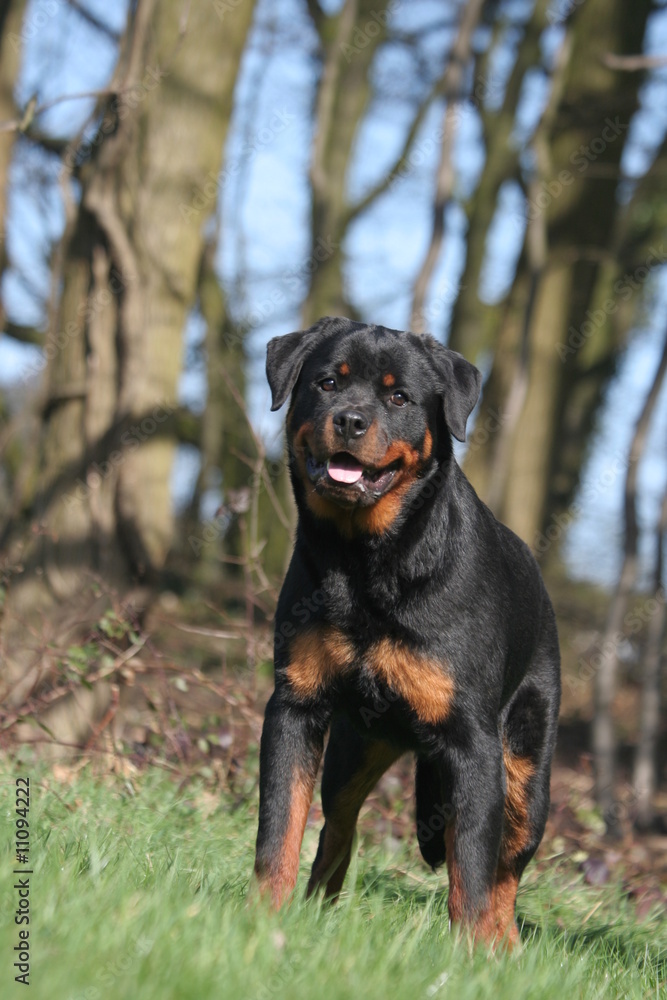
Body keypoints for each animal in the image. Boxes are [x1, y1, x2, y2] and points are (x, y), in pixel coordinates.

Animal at [253, 316, 560, 948]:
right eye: (327, 382)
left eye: (399, 398)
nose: (350, 419)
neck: (366, 562)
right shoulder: (295, 705)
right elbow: (279, 829)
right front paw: (260, 920)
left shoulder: (473, 744)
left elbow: (472, 872)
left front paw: (471, 955)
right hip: (355, 748)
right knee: (337, 830)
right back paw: (314, 912)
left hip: (526, 774)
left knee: (506, 876)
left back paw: (505, 949)